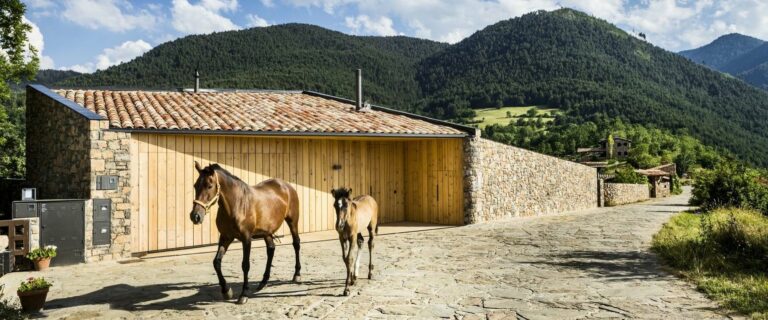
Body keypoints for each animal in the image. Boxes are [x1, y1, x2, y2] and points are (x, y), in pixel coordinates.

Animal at [190, 162, 302, 304]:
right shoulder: (225, 237)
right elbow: (216, 262)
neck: (236, 204)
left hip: (292, 222)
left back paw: (297, 275)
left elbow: (245, 265)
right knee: (271, 249)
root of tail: (287, 186)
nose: (195, 216)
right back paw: (263, 282)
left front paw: (244, 294)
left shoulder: (246, 238)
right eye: (195, 185)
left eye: (209, 186)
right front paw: (226, 291)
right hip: (266, 232)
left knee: (296, 244)